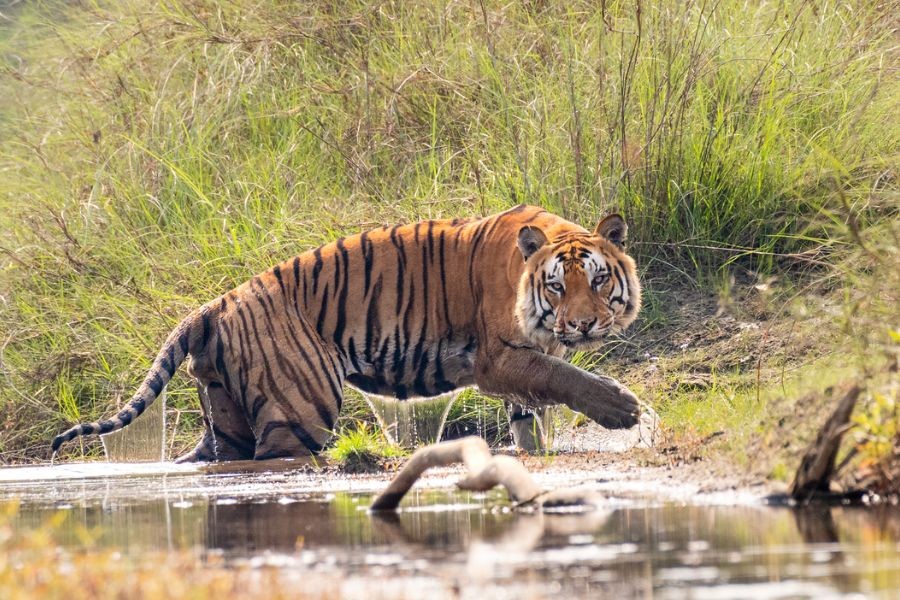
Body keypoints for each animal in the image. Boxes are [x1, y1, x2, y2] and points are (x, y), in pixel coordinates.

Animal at [51, 204, 640, 462]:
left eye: (598, 278)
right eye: (557, 286)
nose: (582, 323)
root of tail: (214, 305)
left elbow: (533, 410)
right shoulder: (499, 358)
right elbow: (562, 377)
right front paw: (624, 410)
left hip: (226, 417)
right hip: (298, 409)